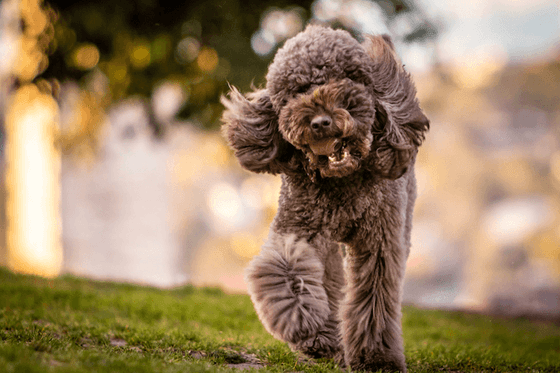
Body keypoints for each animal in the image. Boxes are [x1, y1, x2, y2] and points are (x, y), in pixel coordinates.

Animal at [220, 24, 428, 370]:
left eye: (346, 78)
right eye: (297, 90)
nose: (320, 122)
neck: (341, 181)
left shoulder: (380, 242)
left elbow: (374, 295)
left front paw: (377, 358)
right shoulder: (299, 227)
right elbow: (286, 269)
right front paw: (309, 329)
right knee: (327, 279)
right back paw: (327, 340)